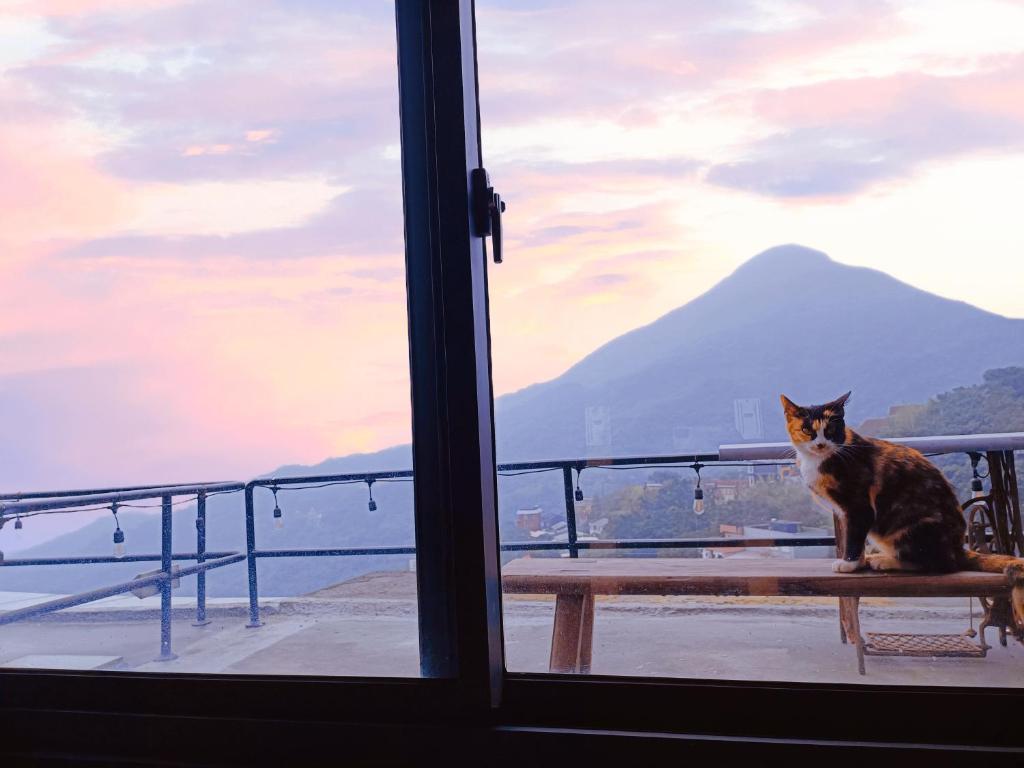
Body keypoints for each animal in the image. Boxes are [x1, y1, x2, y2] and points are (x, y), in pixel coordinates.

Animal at [778, 391, 1019, 638]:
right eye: (807, 429)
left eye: (831, 430)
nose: (820, 444)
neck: (820, 460)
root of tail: (957, 547)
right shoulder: (845, 513)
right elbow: (853, 537)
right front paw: (859, 562)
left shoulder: (858, 506)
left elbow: (854, 538)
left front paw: (849, 565)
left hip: (914, 526)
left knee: (939, 564)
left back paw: (886, 561)